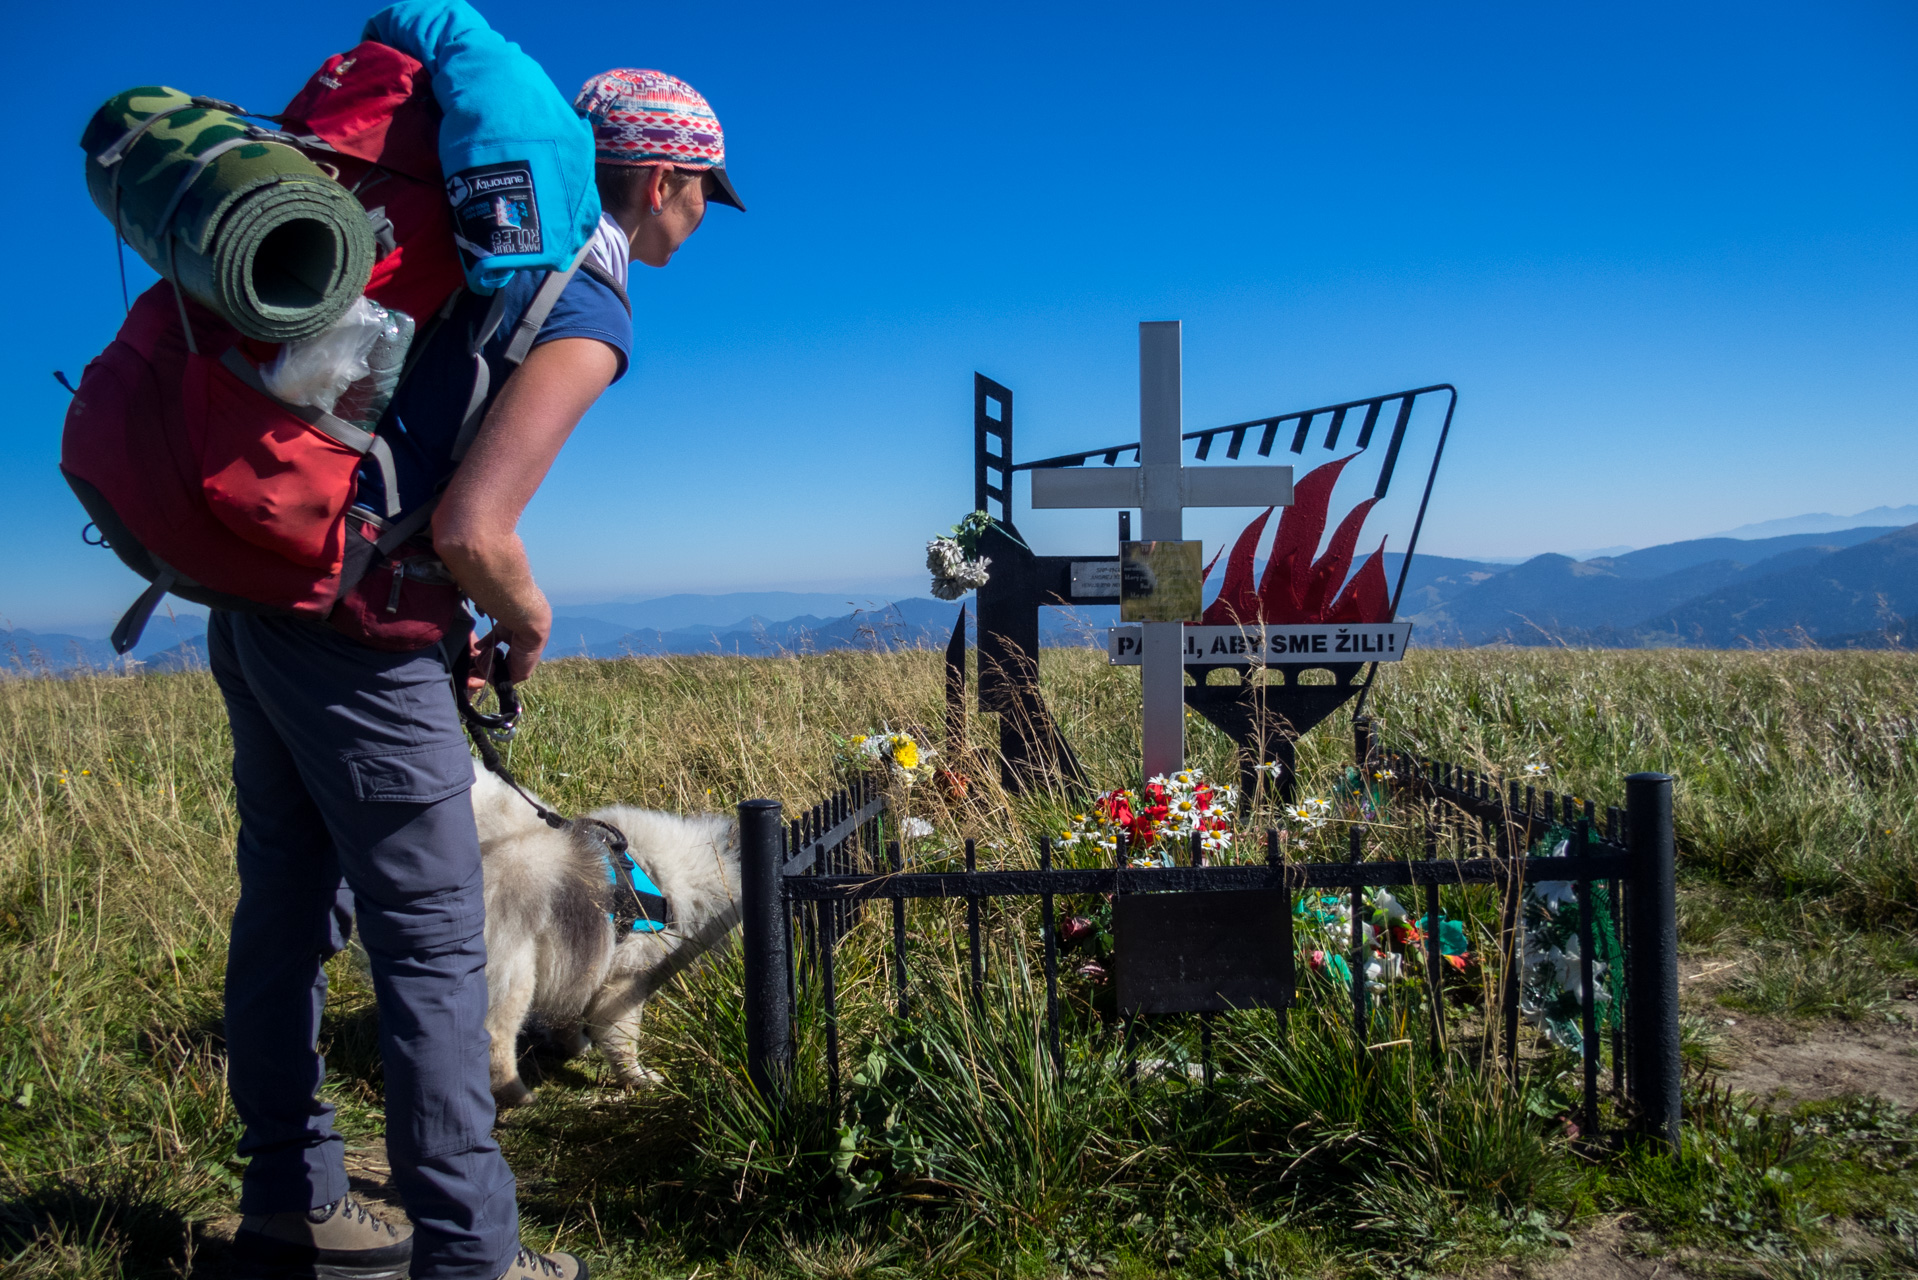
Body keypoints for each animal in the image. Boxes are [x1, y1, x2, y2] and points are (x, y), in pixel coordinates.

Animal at [467, 767, 744, 1105]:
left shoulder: (581, 963)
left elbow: (568, 1015)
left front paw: (575, 1046)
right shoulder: (624, 977)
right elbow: (622, 1038)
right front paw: (639, 1078)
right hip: (515, 970)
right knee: (496, 1038)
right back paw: (518, 1095)